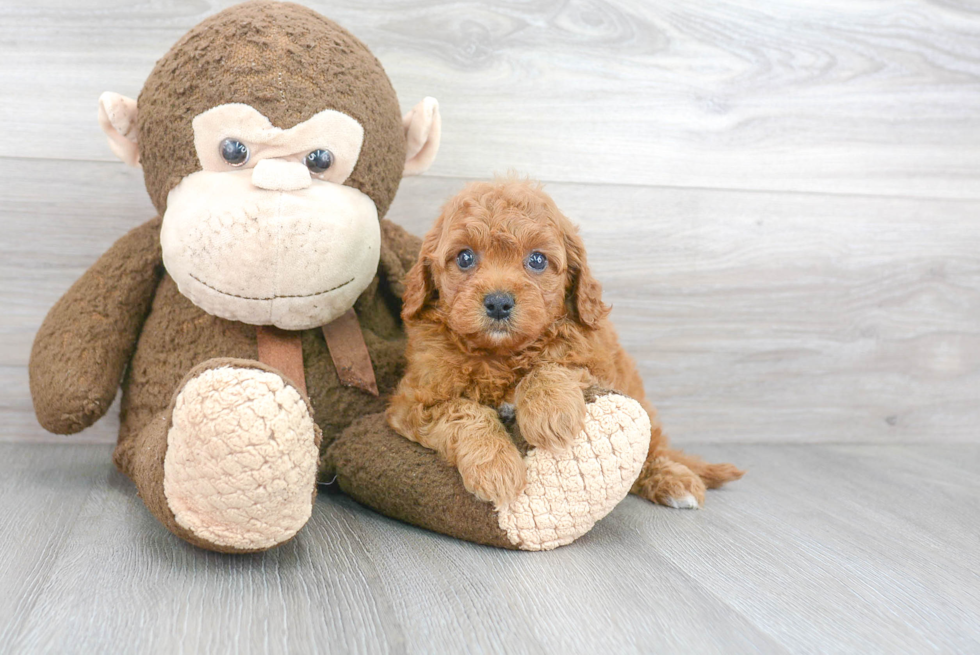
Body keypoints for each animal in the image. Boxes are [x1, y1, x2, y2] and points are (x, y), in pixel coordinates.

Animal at [386, 178, 740, 508]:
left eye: (537, 260)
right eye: (465, 257)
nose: (498, 303)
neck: (501, 355)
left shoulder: (595, 364)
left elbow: (554, 365)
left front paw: (550, 412)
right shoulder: (415, 401)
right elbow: (463, 411)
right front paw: (496, 467)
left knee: (652, 449)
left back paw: (673, 480)